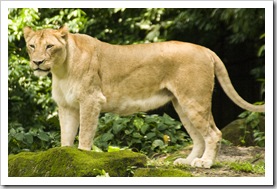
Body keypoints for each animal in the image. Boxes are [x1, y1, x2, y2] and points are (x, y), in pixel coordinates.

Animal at [23, 25, 264, 168]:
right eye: (32, 46)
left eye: (50, 46)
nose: (37, 62)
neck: (61, 70)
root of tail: (206, 49)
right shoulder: (66, 106)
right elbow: (66, 137)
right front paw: (64, 157)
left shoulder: (91, 100)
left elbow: (84, 135)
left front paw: (83, 157)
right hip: (181, 104)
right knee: (198, 137)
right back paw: (186, 162)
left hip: (194, 100)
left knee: (214, 133)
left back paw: (204, 163)